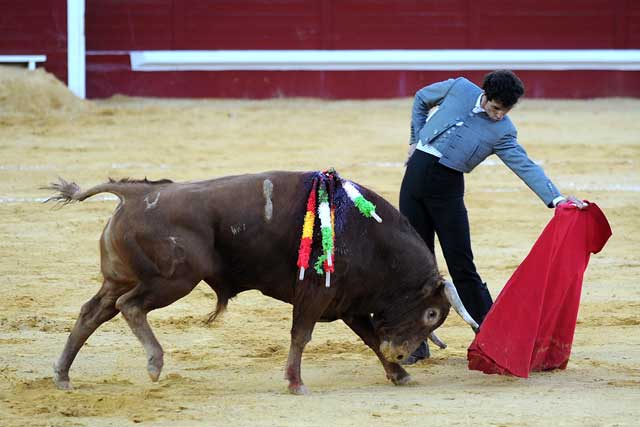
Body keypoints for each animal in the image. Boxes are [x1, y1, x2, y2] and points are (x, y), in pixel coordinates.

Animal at [45, 172, 478, 396]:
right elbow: (301, 336)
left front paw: (398, 373)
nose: (402, 352)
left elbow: (370, 337)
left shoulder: (349, 303)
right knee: (129, 307)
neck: (369, 234)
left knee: (93, 312)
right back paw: (154, 363)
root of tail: (136, 192)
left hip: (121, 278)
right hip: (174, 280)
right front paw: (296, 383)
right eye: (432, 313)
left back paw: (63, 375)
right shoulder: (316, 295)